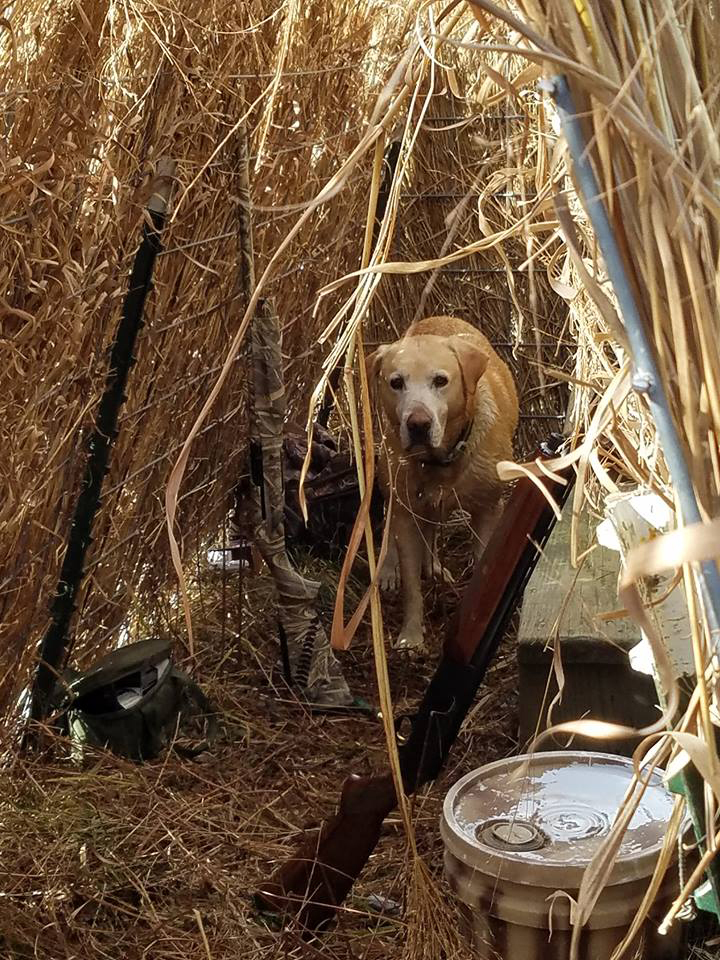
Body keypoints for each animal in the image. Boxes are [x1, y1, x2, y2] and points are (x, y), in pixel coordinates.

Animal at [366, 316, 516, 652]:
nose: (418, 424)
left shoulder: (489, 509)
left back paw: (433, 566)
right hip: (389, 479)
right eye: (396, 382)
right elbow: (412, 588)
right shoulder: (407, 513)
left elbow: (482, 563)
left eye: (440, 380)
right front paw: (411, 636)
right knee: (390, 521)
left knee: (432, 529)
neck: (441, 460)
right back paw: (389, 570)